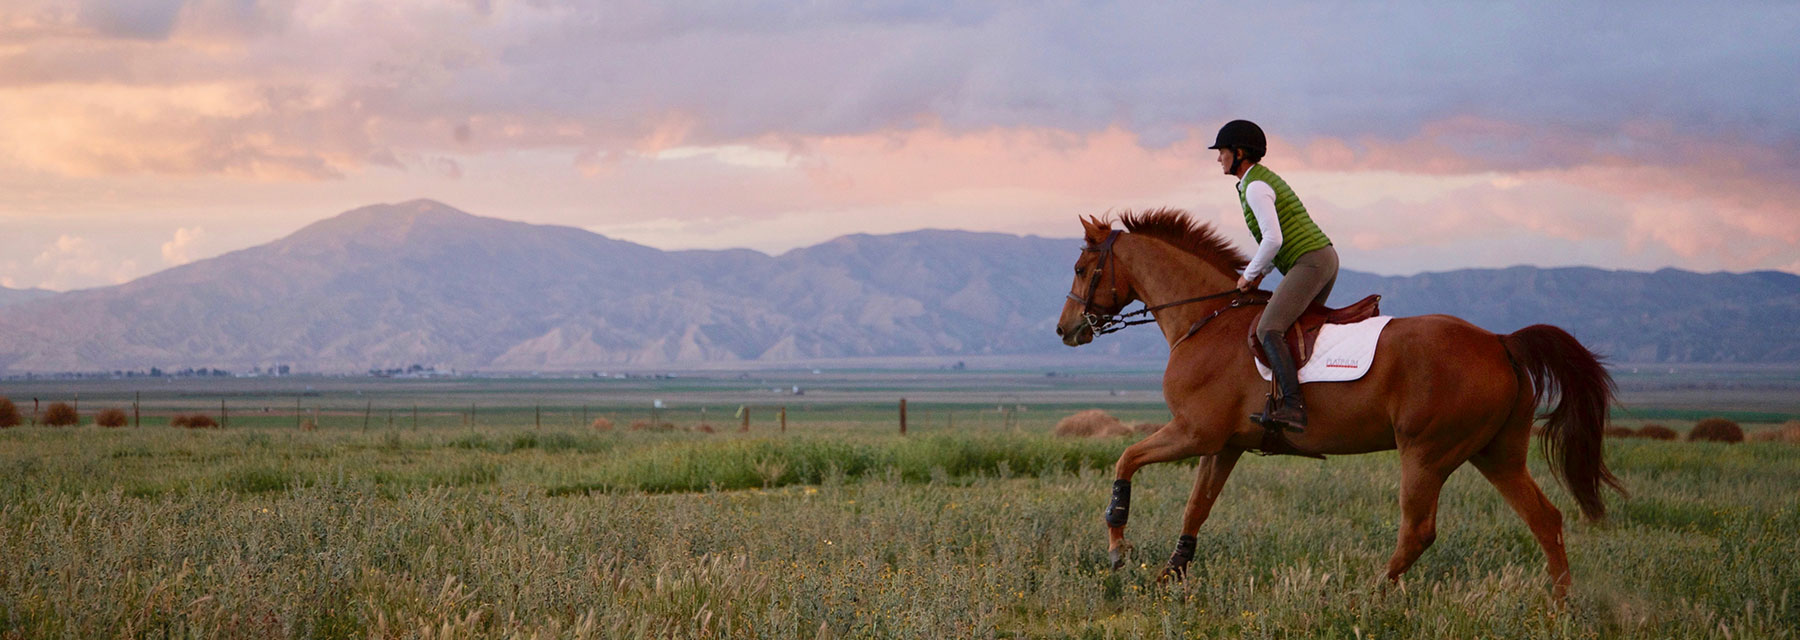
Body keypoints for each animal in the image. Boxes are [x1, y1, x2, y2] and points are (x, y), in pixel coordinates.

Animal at [1051, 211, 1627, 600]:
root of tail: (1500, 342)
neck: (1205, 319)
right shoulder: (1224, 445)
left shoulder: (1195, 433)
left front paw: (1118, 547)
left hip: (1428, 452)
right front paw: (1171, 575)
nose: (1066, 330)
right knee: (1545, 519)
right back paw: (1560, 605)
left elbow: (1125, 460)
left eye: (1080, 267)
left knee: (1419, 530)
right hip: (1496, 452)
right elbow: (1196, 507)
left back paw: (1369, 594)